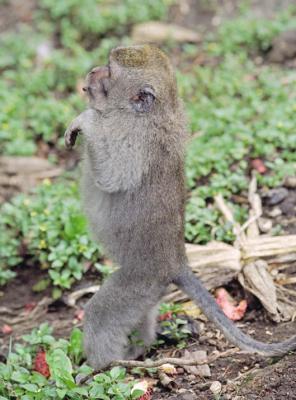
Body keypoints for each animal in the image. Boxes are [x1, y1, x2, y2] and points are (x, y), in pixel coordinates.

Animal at [65, 44, 296, 368]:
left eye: (109, 71)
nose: (92, 72)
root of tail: (176, 263)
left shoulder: (132, 137)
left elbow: (113, 176)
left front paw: (86, 120)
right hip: (151, 290)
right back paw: (139, 348)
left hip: (142, 281)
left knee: (103, 313)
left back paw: (102, 367)